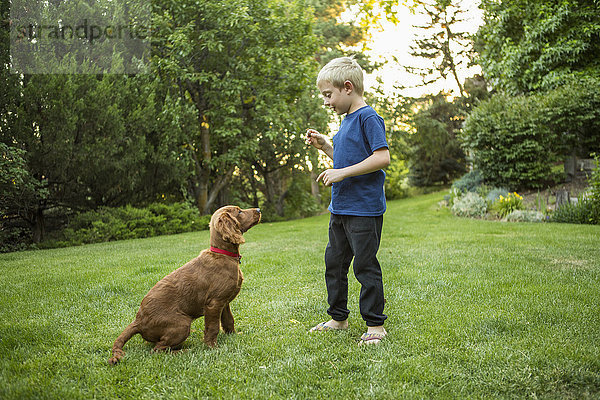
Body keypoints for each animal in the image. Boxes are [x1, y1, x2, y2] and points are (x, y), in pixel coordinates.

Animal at [108, 205, 260, 364]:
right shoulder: (214, 303)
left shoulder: (224, 302)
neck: (224, 255)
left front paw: (234, 336)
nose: (259, 209)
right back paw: (184, 351)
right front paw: (213, 348)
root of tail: (138, 321)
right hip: (182, 323)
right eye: (239, 211)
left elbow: (229, 320)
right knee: (157, 350)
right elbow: (213, 327)